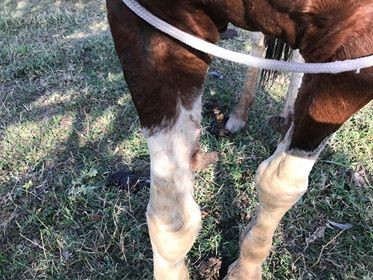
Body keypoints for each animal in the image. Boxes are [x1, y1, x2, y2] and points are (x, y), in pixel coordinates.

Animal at [105, 1, 372, 278]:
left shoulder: (353, 58)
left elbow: (279, 184)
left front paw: (246, 268)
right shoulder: (152, 28)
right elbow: (172, 220)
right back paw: (241, 115)